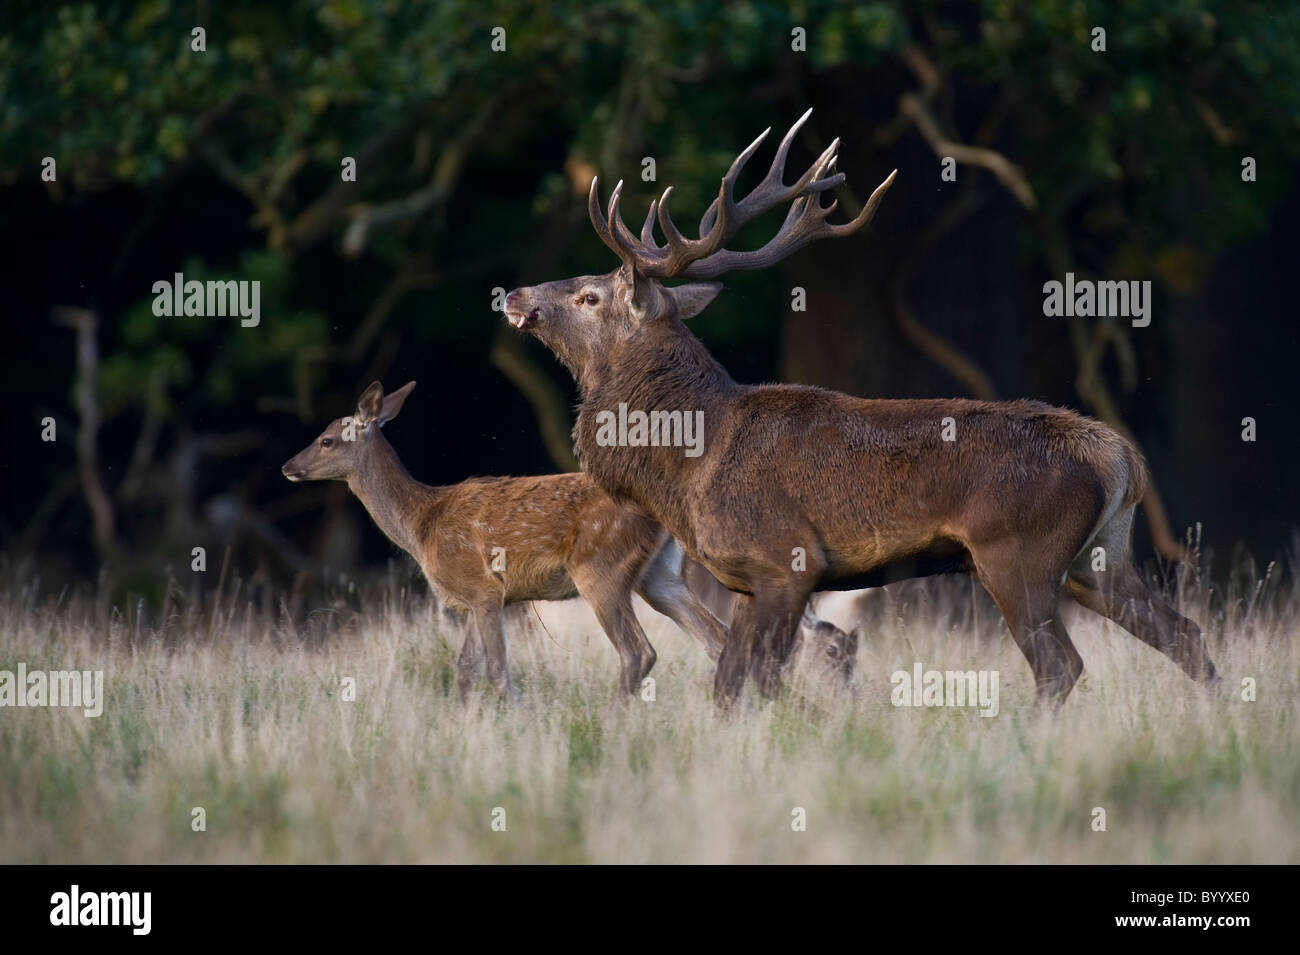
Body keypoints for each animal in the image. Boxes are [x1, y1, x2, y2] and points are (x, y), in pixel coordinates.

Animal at [504, 111, 1216, 712]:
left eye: (591, 296)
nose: (512, 293)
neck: (688, 461)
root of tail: (1120, 456)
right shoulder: (743, 580)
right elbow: (728, 685)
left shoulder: (786, 557)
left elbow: (758, 682)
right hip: (1101, 556)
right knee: (1187, 637)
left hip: (1018, 553)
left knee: (1061, 666)